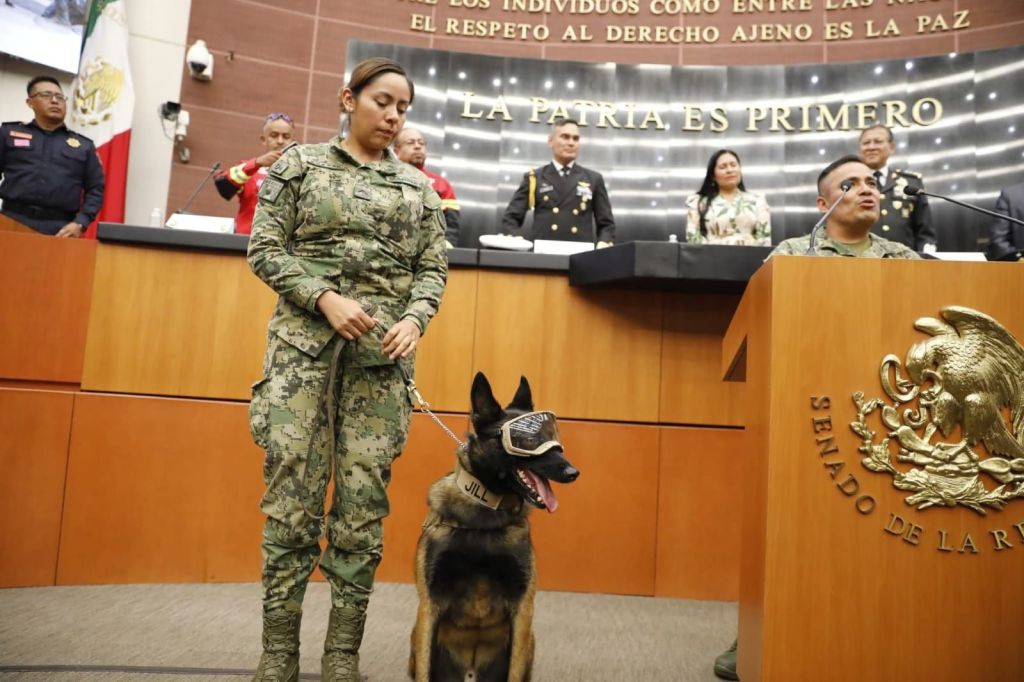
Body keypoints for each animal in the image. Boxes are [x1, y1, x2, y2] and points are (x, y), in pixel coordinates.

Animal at [408, 372, 580, 682]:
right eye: (527, 439)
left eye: (552, 436)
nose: (573, 473)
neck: (485, 513)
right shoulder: (429, 605)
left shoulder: (523, 608)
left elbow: (514, 668)